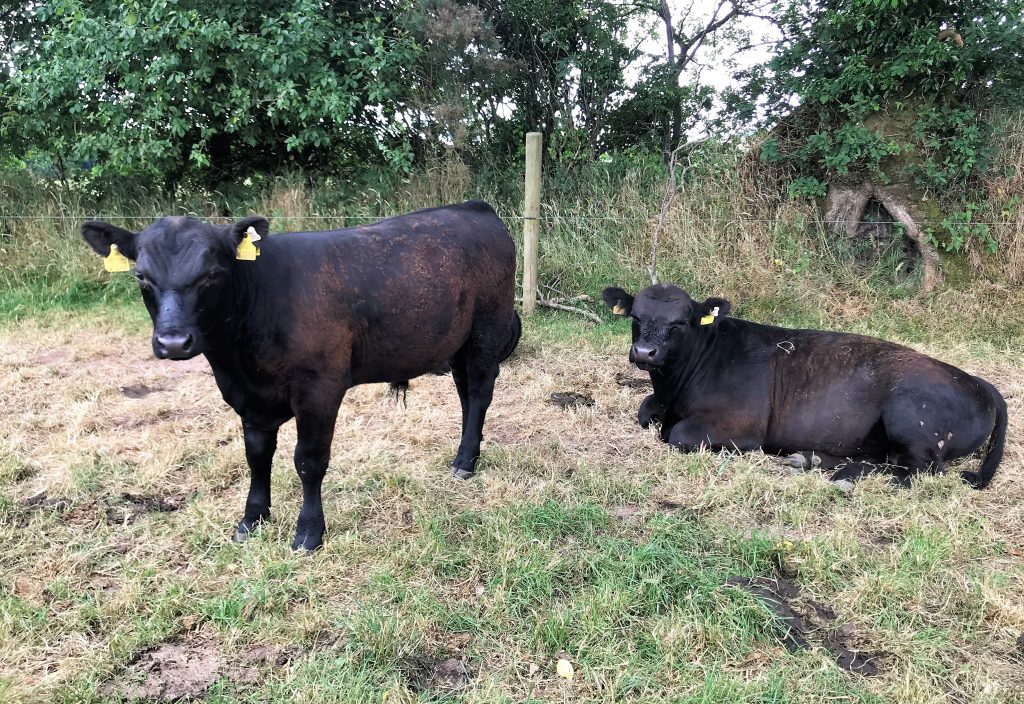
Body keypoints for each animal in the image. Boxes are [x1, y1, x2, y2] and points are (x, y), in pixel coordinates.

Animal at [82, 201, 521, 550]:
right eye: (141, 276)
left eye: (210, 274)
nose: (173, 342)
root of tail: (474, 208)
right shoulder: (248, 397)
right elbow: (257, 457)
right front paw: (252, 519)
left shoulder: (318, 389)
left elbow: (309, 460)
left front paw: (309, 532)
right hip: (458, 342)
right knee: (464, 393)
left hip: (487, 329)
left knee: (479, 392)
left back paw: (466, 460)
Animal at [603, 283, 1007, 488]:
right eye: (635, 316)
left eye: (681, 322)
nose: (644, 352)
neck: (675, 389)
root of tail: (972, 379)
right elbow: (644, 411)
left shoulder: (740, 426)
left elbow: (678, 434)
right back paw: (811, 459)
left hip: (910, 418)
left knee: (919, 470)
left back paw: (845, 477)